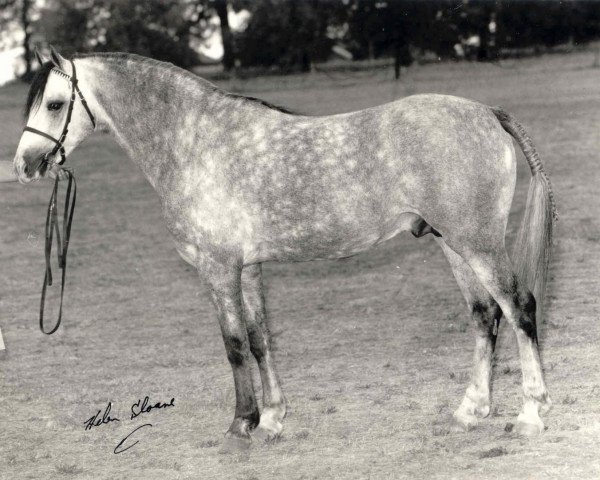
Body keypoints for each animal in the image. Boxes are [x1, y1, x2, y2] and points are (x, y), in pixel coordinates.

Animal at [12, 48, 556, 450]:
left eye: (55, 104)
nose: (25, 165)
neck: (195, 142)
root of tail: (487, 113)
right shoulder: (249, 269)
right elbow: (259, 339)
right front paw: (273, 419)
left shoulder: (218, 270)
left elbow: (233, 345)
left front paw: (241, 424)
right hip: (454, 245)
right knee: (484, 314)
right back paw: (471, 410)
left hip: (478, 243)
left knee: (519, 308)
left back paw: (530, 414)